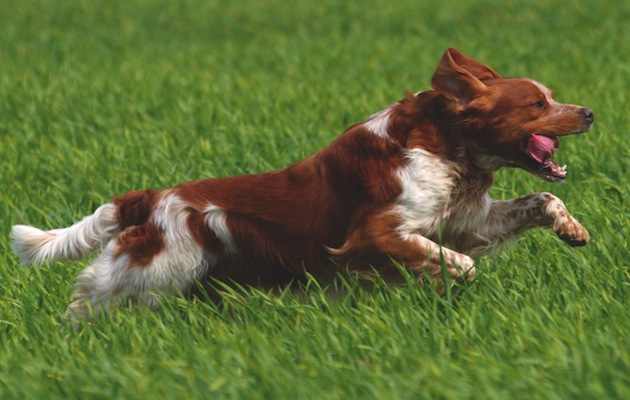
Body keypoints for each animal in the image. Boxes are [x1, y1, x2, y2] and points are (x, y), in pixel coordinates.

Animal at [9, 47, 596, 322]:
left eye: (551, 97)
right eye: (536, 104)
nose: (589, 111)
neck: (445, 147)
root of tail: (146, 200)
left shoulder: (465, 220)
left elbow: (543, 197)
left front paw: (574, 231)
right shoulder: (375, 233)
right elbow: (460, 265)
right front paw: (439, 290)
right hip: (156, 268)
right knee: (87, 296)